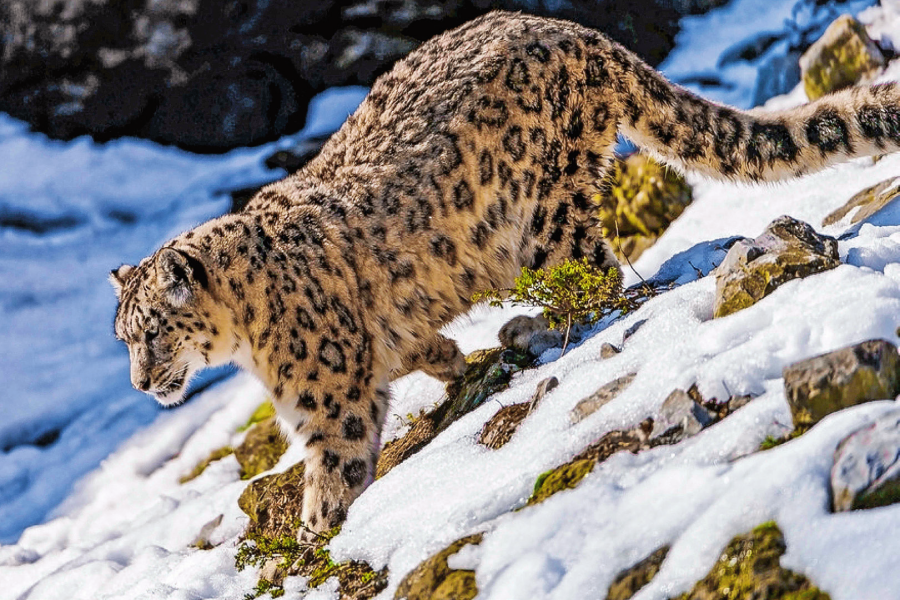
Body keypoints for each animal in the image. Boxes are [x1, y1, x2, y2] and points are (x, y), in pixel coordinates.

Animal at [111, 11, 900, 537]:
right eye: (124, 338)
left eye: (152, 331)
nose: (142, 384)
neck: (247, 340)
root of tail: (571, 29)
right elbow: (415, 347)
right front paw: (447, 358)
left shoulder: (327, 395)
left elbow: (335, 461)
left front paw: (316, 532)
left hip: (546, 213)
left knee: (598, 278)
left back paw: (531, 326)